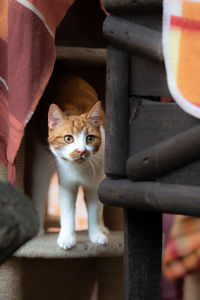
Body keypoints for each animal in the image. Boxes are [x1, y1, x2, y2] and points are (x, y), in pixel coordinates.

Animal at [28, 74, 108, 250]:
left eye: (89, 138)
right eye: (68, 139)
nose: (81, 151)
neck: (81, 170)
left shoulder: (95, 183)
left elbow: (95, 210)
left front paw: (97, 235)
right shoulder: (67, 184)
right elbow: (68, 212)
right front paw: (67, 238)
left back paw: (103, 228)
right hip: (41, 164)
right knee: (39, 190)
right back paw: (38, 230)